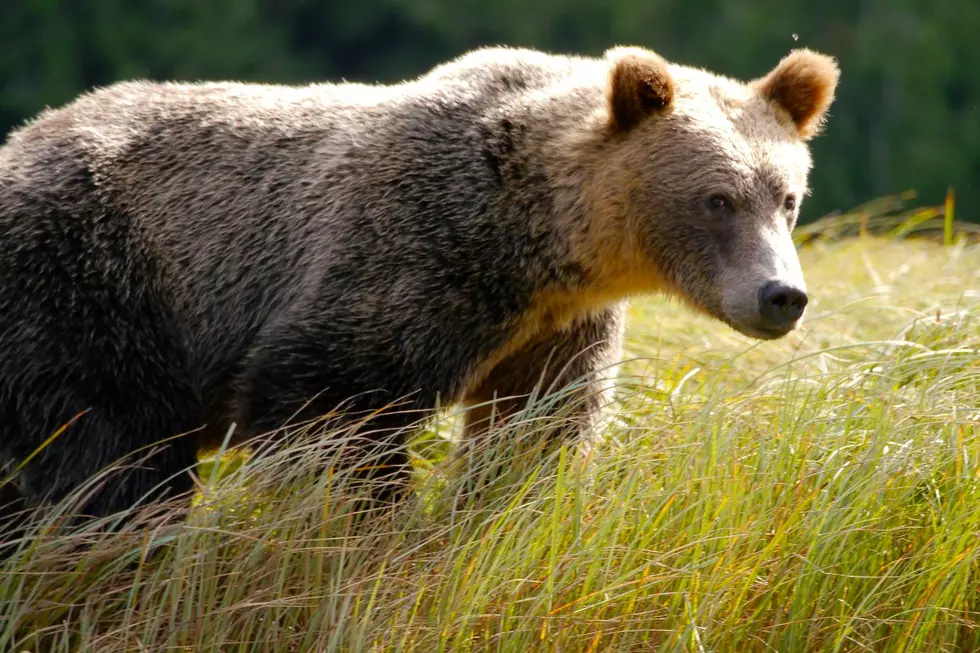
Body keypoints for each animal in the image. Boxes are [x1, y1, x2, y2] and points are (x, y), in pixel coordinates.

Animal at [0, 42, 844, 540]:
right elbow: (330, 408)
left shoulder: (552, 326)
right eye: (717, 199)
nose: (781, 295)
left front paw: (493, 516)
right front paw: (378, 531)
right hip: (93, 280)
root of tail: (18, 140)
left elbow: (536, 432)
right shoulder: (412, 256)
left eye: (787, 197)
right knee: (113, 449)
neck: (538, 238)